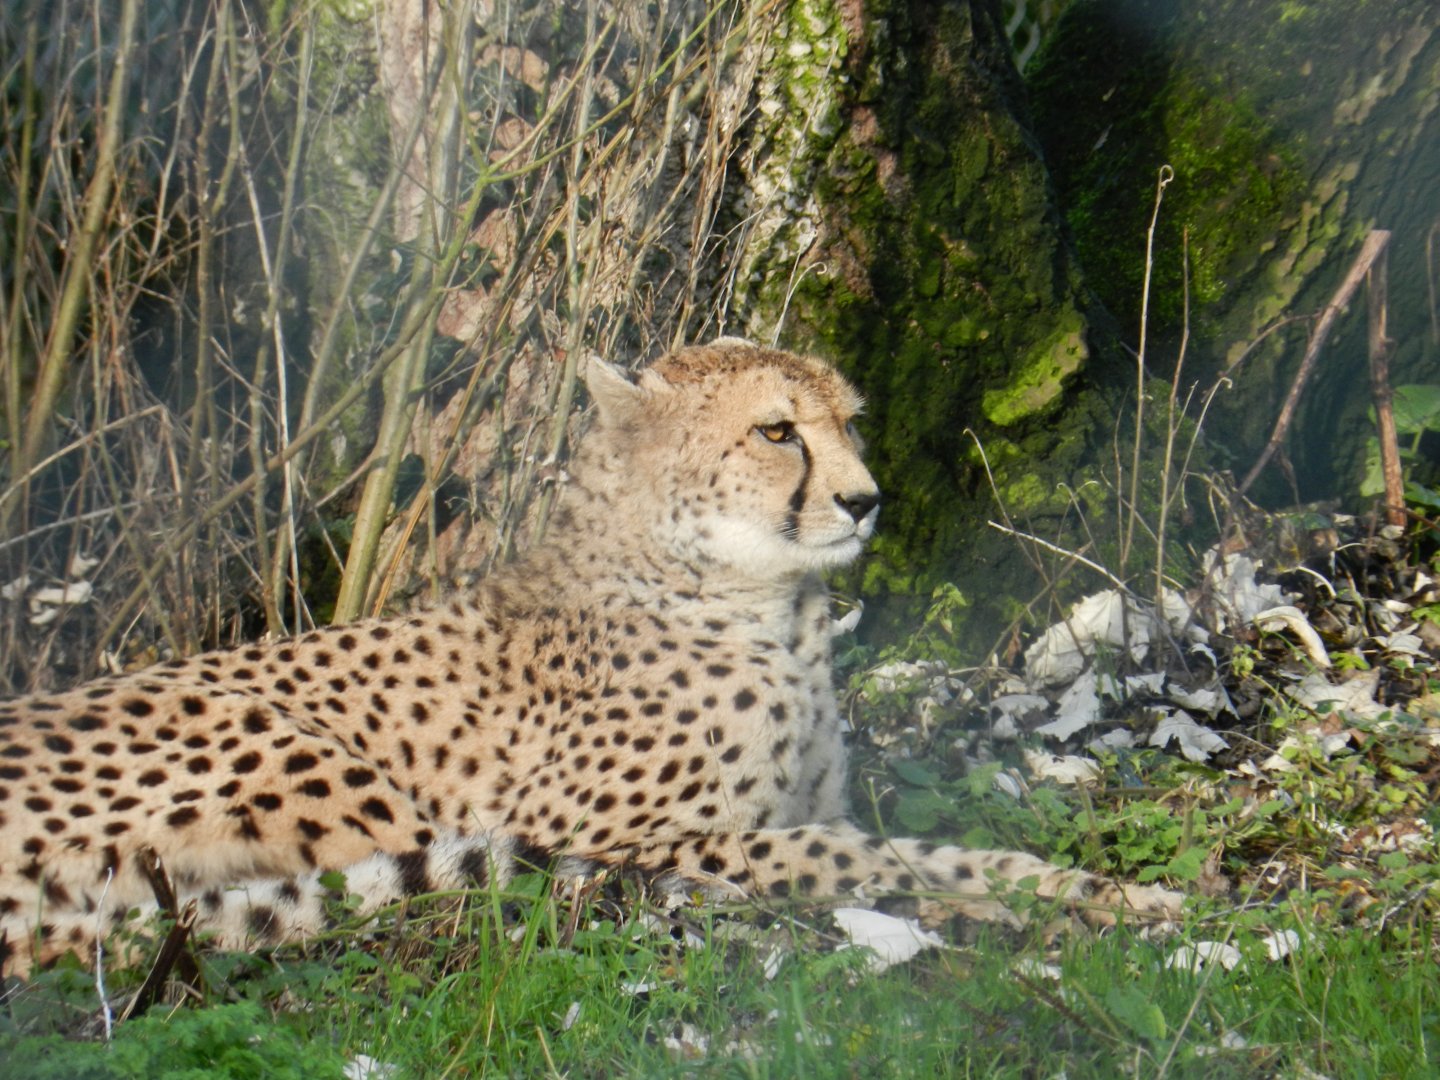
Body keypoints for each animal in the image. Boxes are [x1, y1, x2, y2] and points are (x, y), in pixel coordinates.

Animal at [0, 339, 1181, 976]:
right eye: (777, 432)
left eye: (848, 421)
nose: (866, 499)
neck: (757, 598)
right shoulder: (611, 833)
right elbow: (848, 858)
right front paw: (1037, 903)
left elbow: (909, 848)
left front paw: (1098, 894)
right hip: (315, 764)